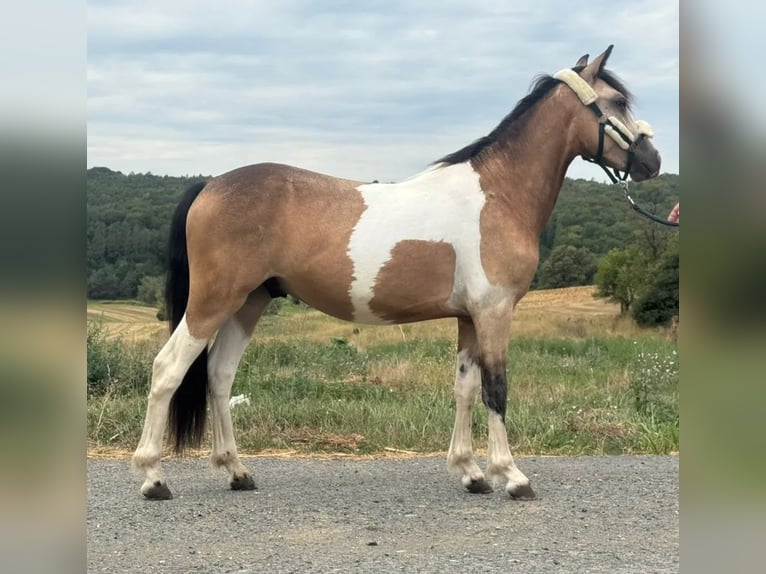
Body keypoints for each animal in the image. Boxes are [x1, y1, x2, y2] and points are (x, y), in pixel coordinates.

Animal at [132, 45, 661, 500]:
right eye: (617, 101)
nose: (652, 161)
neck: (498, 193)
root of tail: (210, 185)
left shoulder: (469, 317)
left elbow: (465, 388)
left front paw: (470, 473)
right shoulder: (494, 312)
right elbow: (496, 389)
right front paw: (511, 476)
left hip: (249, 302)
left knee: (219, 375)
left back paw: (237, 471)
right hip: (214, 301)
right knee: (169, 368)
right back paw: (154, 477)